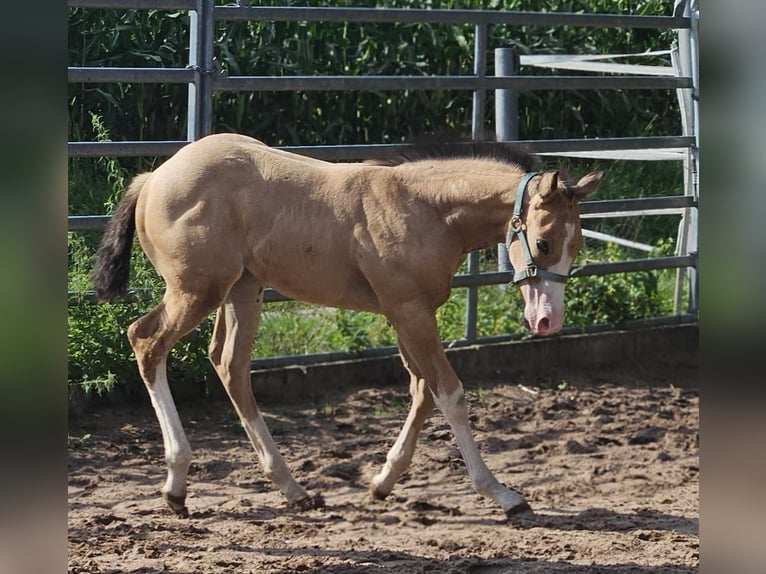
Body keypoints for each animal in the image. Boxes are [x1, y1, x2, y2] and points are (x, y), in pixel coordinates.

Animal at [91, 133, 602, 519]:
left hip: (243, 289)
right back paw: (177, 484)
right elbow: (450, 393)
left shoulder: (408, 312)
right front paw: (502, 494)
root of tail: (154, 177)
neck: (424, 209)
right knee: (146, 341)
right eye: (543, 242)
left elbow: (423, 391)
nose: (547, 320)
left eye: (577, 244)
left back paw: (292, 489)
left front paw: (382, 482)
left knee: (229, 365)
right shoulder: (409, 311)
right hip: (198, 290)